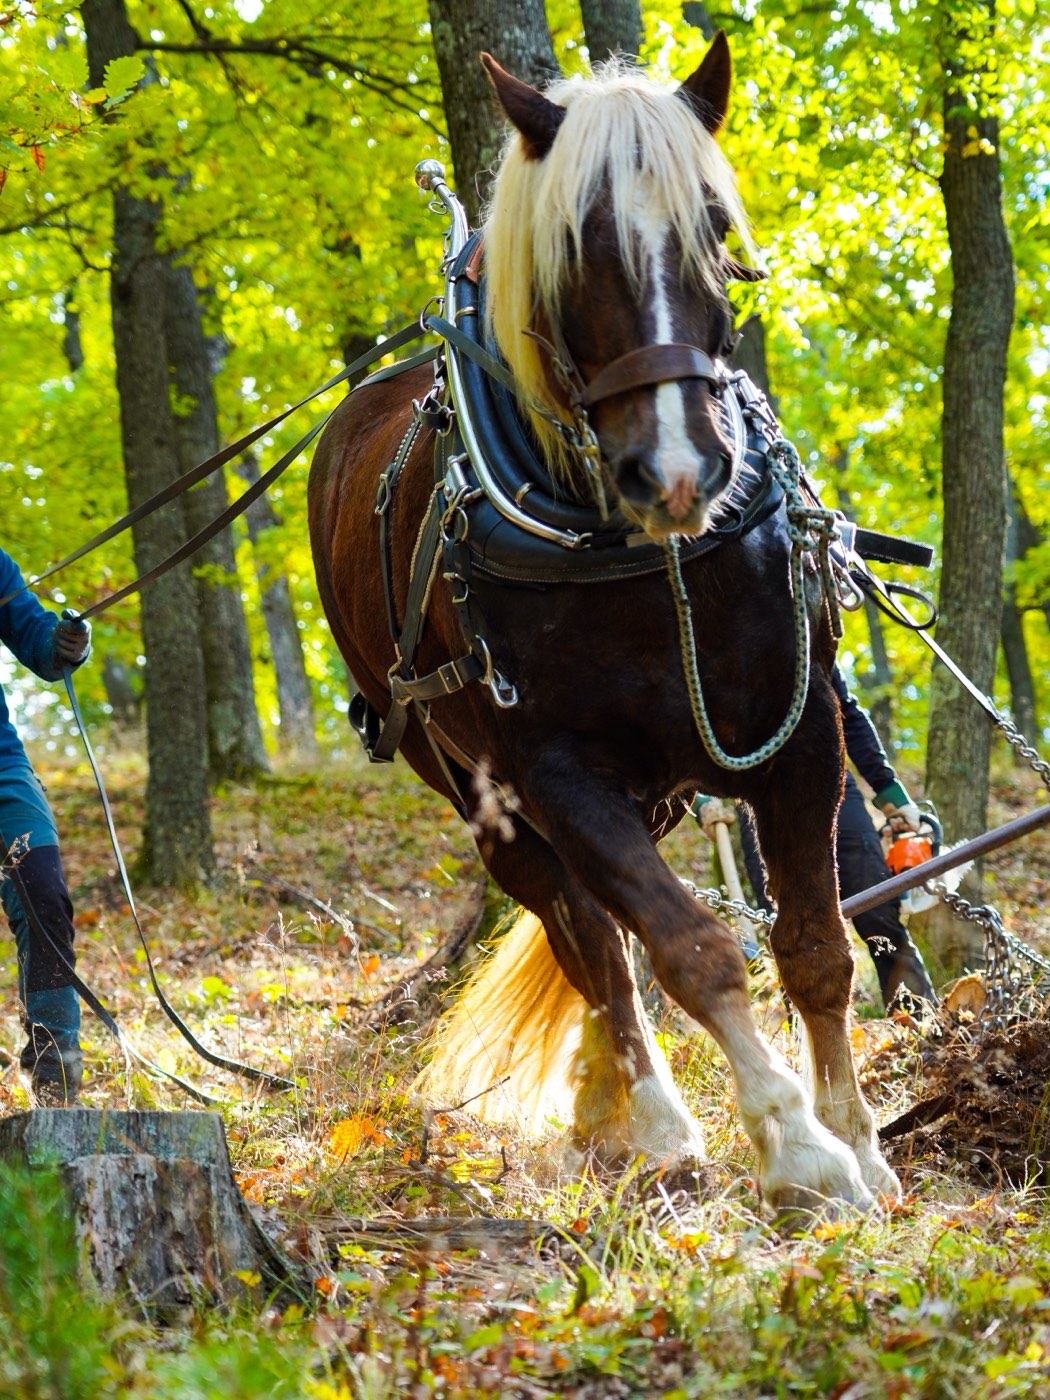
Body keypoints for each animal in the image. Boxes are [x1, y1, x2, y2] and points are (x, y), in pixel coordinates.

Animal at [307, 32, 900, 1214]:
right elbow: (690, 948)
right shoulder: (558, 773)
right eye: (574, 248)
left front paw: (858, 1144)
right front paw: (796, 1149)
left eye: (715, 231)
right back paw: (654, 1121)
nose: (677, 471)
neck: (644, 563)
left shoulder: (799, 734)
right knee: (585, 936)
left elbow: (815, 946)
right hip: (476, 791)